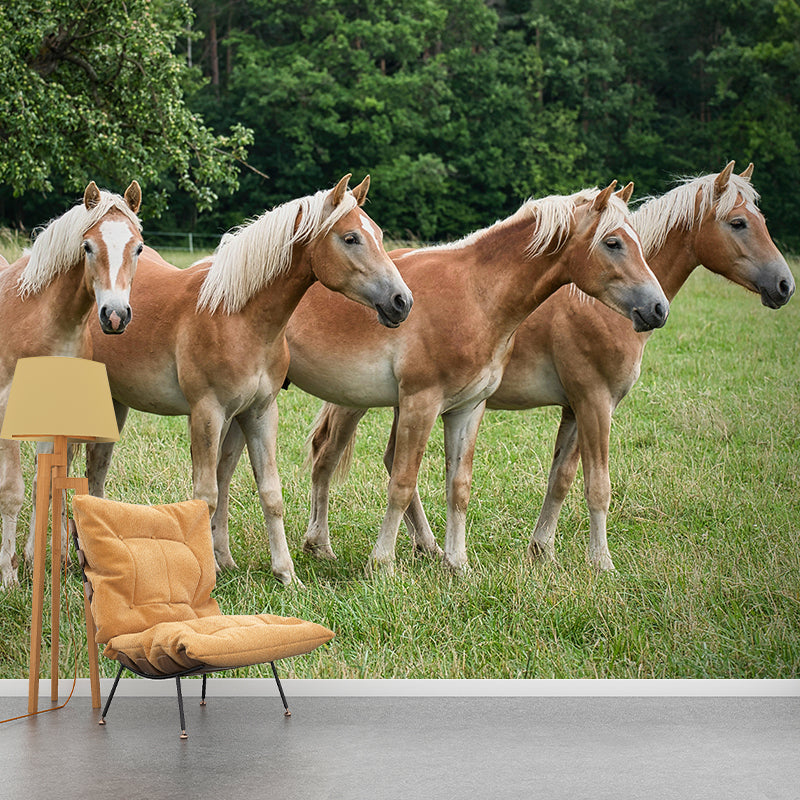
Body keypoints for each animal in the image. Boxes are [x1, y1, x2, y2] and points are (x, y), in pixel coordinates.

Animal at [0, 181, 143, 588]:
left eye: (138, 248)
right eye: (88, 247)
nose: (115, 316)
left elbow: (44, 484)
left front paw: (35, 559)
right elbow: (12, 490)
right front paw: (8, 574)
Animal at [80, 175, 413, 585]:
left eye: (379, 235)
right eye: (351, 238)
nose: (401, 301)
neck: (237, 317)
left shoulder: (259, 412)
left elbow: (270, 494)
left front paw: (286, 574)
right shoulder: (206, 413)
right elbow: (206, 495)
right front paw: (206, 575)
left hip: (117, 402)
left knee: (96, 469)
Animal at [210, 182, 669, 575]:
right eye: (613, 243)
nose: (658, 308)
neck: (476, 295)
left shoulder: (467, 409)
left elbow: (458, 486)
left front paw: (457, 564)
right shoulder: (421, 402)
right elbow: (402, 481)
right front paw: (383, 563)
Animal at [303, 161, 795, 572]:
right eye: (738, 223)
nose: (785, 285)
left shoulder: (575, 408)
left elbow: (561, 479)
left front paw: (542, 551)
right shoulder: (595, 401)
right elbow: (597, 485)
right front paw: (601, 563)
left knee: (387, 462)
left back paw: (428, 548)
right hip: (356, 399)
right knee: (329, 456)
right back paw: (322, 545)